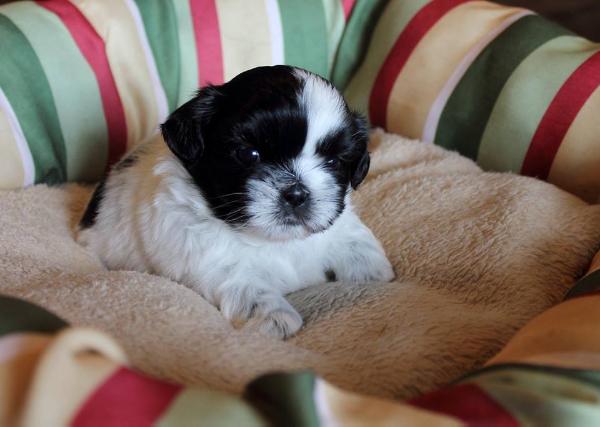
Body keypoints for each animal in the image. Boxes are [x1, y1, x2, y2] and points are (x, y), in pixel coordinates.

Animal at [77, 65, 396, 340]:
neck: (276, 241)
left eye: (333, 162)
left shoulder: (340, 221)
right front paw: (275, 318)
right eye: (250, 154)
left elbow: (354, 240)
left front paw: (374, 274)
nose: (296, 194)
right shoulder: (214, 260)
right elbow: (247, 287)